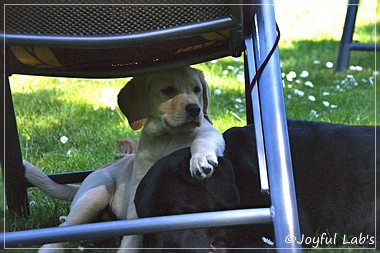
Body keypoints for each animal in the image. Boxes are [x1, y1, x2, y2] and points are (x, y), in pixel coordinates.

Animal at [23, 66, 226, 251]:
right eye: (168, 90)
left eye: (197, 90)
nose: (195, 109)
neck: (168, 138)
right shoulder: (138, 194)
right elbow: (132, 234)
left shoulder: (210, 133)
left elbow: (201, 141)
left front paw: (200, 160)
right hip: (96, 192)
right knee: (62, 230)